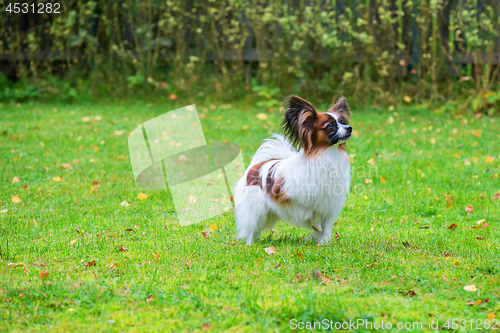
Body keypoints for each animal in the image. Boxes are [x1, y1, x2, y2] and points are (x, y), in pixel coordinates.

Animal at [233, 94, 352, 243]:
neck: (328, 154)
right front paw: (315, 224)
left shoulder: (330, 206)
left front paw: (323, 243)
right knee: (250, 227)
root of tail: (257, 165)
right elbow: (313, 210)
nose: (349, 128)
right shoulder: (294, 196)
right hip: (256, 209)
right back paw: (250, 243)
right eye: (330, 125)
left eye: (342, 121)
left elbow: (325, 229)